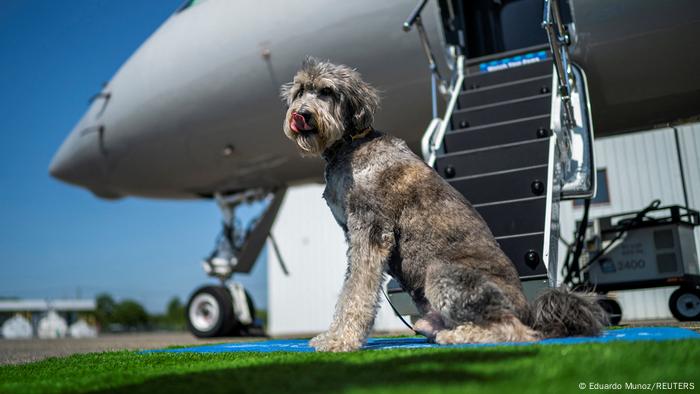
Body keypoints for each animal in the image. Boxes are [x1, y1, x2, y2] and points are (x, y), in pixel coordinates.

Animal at [282, 57, 604, 352]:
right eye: (300, 91)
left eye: (326, 91)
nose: (301, 114)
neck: (350, 145)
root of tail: (528, 309)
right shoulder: (354, 234)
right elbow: (351, 286)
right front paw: (333, 335)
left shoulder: (370, 230)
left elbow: (357, 291)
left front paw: (341, 340)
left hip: (442, 273)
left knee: (514, 330)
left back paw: (457, 336)